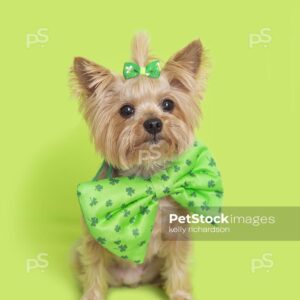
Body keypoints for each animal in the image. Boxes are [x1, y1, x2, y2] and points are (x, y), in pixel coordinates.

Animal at [71, 32, 206, 300]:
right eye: (126, 110)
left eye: (168, 104)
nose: (153, 123)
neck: (146, 175)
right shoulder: (93, 234)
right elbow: (94, 266)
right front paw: (92, 294)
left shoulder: (177, 229)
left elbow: (178, 265)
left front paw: (179, 293)